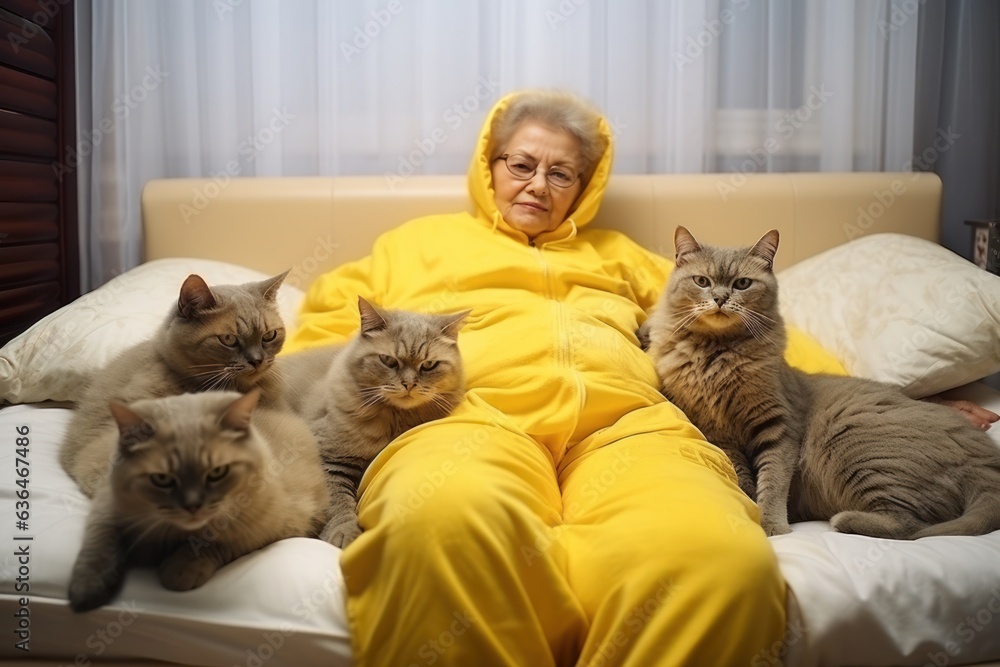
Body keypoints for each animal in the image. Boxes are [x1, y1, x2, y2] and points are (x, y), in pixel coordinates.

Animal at [67, 388, 332, 612]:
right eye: (162, 479)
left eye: (217, 472)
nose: (192, 506)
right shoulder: (106, 506)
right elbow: (99, 544)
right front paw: (88, 588)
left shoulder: (263, 528)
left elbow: (213, 542)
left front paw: (181, 568)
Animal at [278, 298, 468, 548]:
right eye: (388, 361)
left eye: (428, 365)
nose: (409, 384)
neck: (395, 418)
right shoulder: (329, 459)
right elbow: (339, 504)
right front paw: (344, 535)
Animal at [640, 227, 1000, 540]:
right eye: (702, 281)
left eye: (742, 283)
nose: (719, 298)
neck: (718, 355)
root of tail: (984, 458)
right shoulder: (720, 434)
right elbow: (744, 476)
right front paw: (750, 507)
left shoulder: (778, 428)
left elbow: (773, 482)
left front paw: (771, 526)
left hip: (858, 448)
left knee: (912, 525)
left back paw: (843, 520)